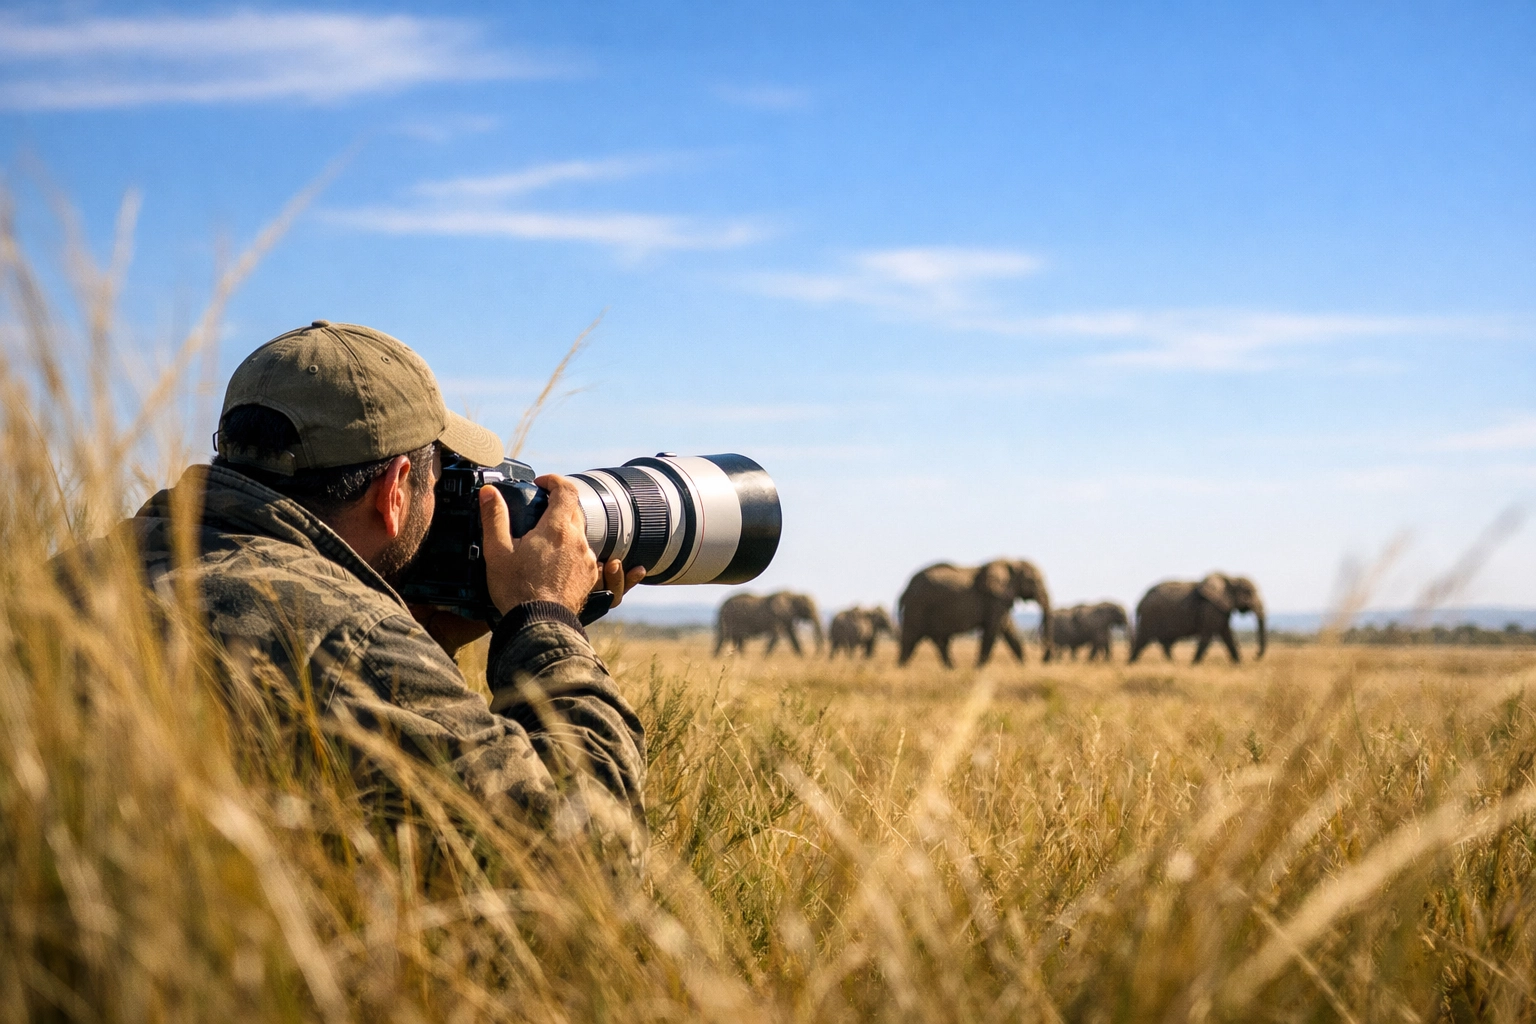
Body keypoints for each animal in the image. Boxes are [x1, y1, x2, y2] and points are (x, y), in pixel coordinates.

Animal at [897, 559, 1052, 668]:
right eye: (1035, 581)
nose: (1044, 659)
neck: (1012, 563)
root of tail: (905, 589)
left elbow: (1009, 630)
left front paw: (1025, 668)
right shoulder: (995, 599)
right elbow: (993, 630)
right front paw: (978, 669)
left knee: (940, 642)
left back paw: (952, 669)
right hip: (917, 607)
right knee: (910, 639)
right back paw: (901, 669)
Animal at [1129, 573, 1267, 664]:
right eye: (1249, 592)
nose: (1255, 656)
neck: (1230, 579)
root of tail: (1141, 600)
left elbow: (1227, 635)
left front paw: (1239, 664)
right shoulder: (1211, 608)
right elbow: (1208, 635)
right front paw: (1194, 664)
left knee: (1164, 642)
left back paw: (1172, 663)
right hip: (1150, 615)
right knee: (1143, 640)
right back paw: (1131, 663)